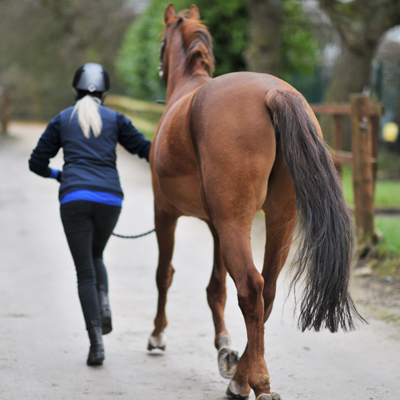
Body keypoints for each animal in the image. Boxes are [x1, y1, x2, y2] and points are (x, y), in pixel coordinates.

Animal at [147, 3, 362, 400]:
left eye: (161, 44)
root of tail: (273, 93)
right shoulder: (215, 224)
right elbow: (216, 288)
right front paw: (224, 347)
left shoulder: (165, 213)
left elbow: (164, 274)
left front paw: (157, 334)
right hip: (280, 220)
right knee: (268, 290)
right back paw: (240, 377)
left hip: (236, 221)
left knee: (250, 287)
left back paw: (256, 382)